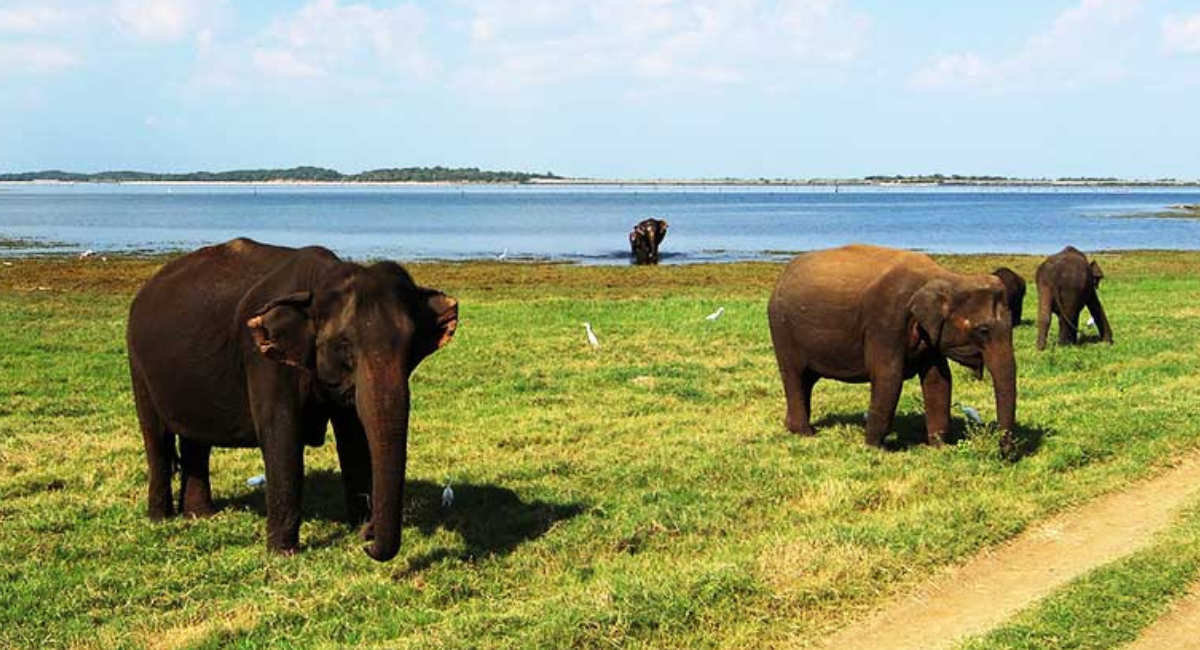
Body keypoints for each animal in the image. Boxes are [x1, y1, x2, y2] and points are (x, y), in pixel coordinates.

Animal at [124, 239, 456, 561]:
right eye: (344, 345)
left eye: (412, 347)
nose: (368, 537)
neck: (322, 281)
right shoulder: (262, 356)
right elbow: (281, 433)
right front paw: (283, 554)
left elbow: (354, 436)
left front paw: (357, 529)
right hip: (136, 361)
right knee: (156, 437)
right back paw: (161, 518)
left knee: (196, 440)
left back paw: (200, 516)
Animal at [772, 244, 1017, 448]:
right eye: (983, 330)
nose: (1002, 452)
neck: (946, 277)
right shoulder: (887, 321)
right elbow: (888, 376)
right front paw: (873, 448)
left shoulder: (929, 334)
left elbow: (939, 379)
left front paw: (939, 447)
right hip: (782, 331)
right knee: (794, 376)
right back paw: (805, 433)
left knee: (806, 380)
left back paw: (792, 427)